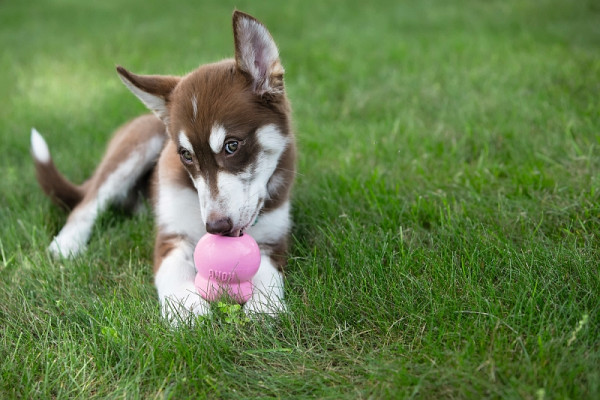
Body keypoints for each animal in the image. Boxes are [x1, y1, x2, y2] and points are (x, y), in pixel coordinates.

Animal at [30, 10, 298, 322]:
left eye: (232, 146)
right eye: (186, 155)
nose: (216, 227)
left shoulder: (273, 239)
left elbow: (267, 272)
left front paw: (265, 308)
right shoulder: (172, 235)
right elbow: (175, 269)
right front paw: (187, 309)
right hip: (136, 145)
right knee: (89, 202)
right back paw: (67, 244)